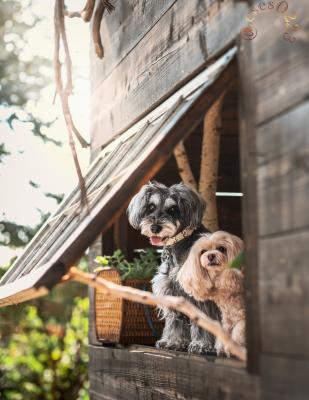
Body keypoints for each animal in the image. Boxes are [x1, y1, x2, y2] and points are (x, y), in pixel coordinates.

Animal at [126, 181, 218, 354]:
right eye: (151, 206)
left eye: (173, 209)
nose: (155, 227)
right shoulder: (171, 290)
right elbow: (175, 321)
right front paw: (173, 342)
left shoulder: (201, 294)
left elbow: (204, 321)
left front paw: (202, 344)